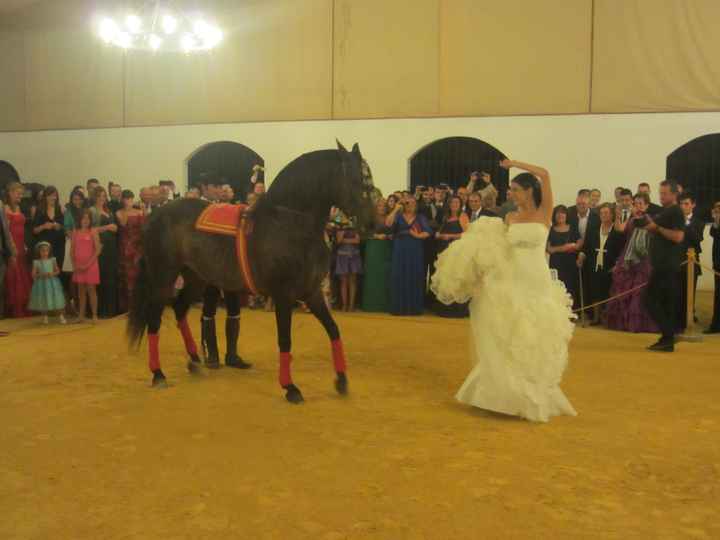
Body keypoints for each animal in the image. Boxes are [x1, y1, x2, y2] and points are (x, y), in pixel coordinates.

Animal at [127, 141, 374, 402]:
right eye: (356, 180)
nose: (371, 223)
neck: (289, 224)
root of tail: (155, 215)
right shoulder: (283, 295)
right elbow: (285, 340)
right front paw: (290, 387)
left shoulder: (312, 292)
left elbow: (333, 330)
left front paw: (342, 380)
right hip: (163, 277)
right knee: (154, 319)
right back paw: (158, 374)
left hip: (196, 278)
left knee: (179, 309)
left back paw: (194, 361)